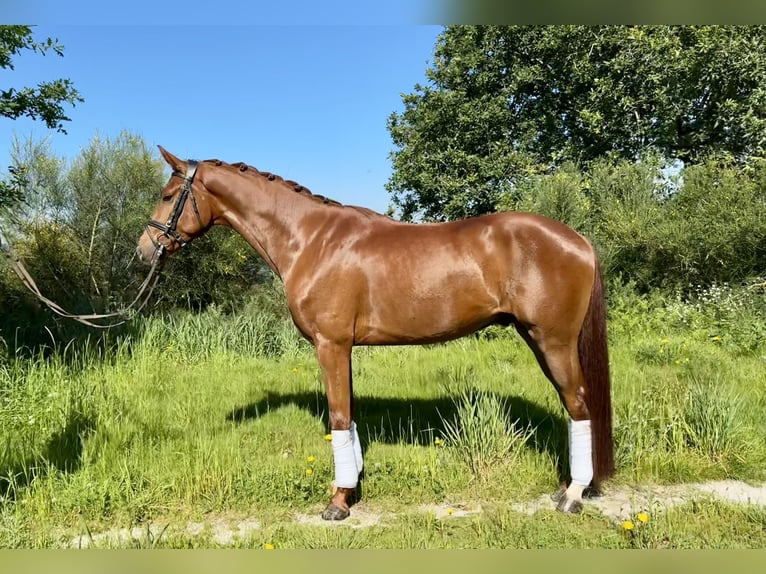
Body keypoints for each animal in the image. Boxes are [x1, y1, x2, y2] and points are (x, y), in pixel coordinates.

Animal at [138, 148, 616, 520]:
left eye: (167, 196)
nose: (144, 249)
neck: (311, 240)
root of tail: (578, 241)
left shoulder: (330, 345)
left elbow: (337, 417)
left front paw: (337, 502)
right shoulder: (342, 348)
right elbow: (348, 415)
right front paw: (352, 486)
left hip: (552, 341)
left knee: (578, 404)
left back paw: (573, 495)